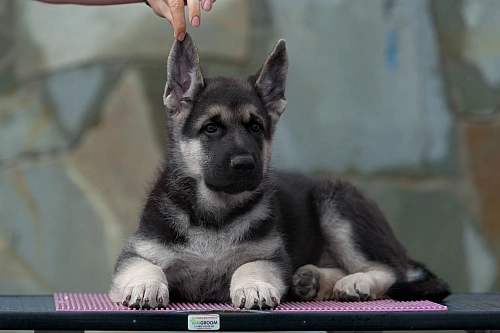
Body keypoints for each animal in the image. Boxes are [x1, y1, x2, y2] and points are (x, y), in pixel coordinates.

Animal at [108, 33, 450, 308]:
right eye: (211, 128)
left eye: (256, 127)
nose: (245, 164)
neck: (216, 214)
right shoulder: (135, 255)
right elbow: (146, 266)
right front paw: (145, 285)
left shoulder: (270, 257)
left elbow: (249, 266)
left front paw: (255, 287)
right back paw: (312, 279)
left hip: (337, 203)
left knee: (390, 269)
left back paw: (354, 282)